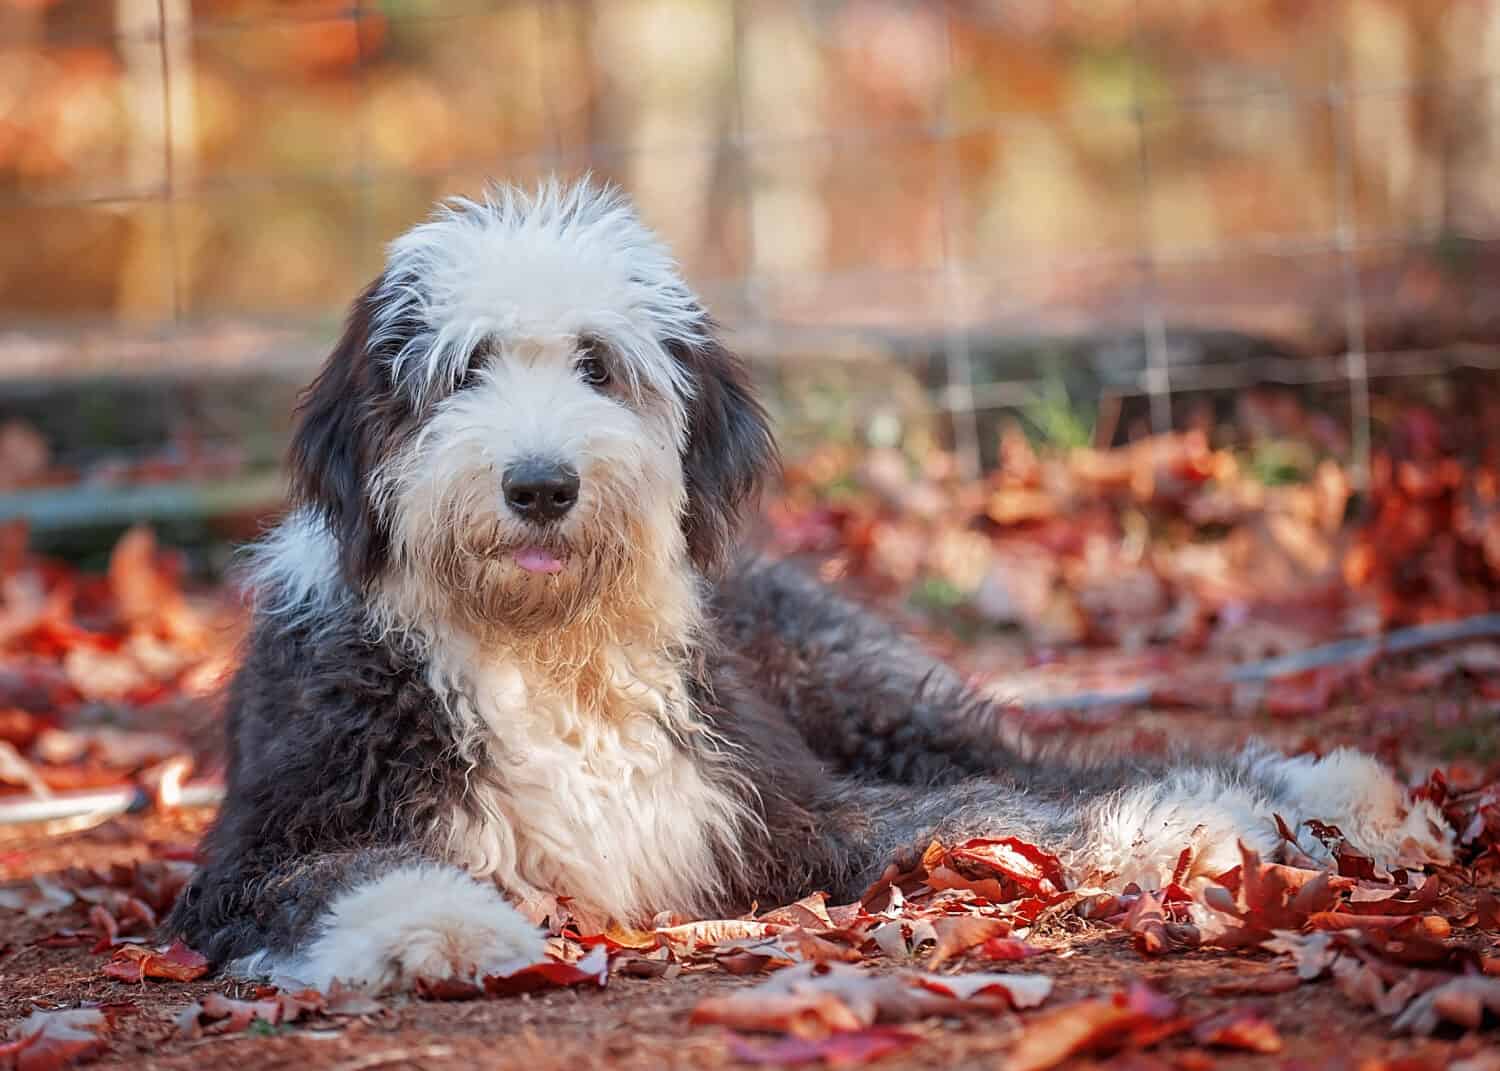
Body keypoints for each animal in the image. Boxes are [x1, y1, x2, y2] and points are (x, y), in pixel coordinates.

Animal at [170, 179, 1458, 990]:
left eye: (598, 365)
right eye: (463, 370)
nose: (539, 485)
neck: (544, 652)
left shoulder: (782, 808)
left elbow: (994, 815)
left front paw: (1184, 827)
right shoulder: (256, 851)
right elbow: (340, 873)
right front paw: (438, 927)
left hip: (867, 693)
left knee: (1038, 762)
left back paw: (1327, 792)